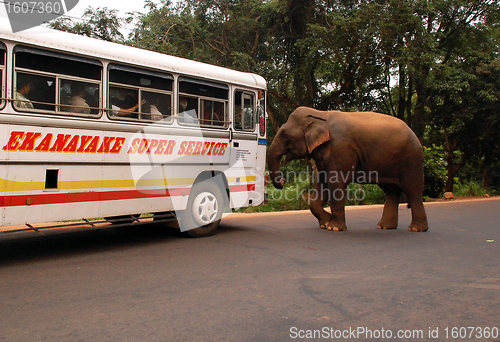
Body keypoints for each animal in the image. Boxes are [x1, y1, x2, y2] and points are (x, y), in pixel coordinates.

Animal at [268, 107, 428, 232]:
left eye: (285, 135)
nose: (283, 181)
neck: (321, 114)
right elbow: (323, 184)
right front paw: (326, 223)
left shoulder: (341, 148)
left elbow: (336, 184)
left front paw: (334, 227)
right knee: (391, 191)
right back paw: (385, 226)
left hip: (411, 159)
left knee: (412, 190)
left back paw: (416, 229)